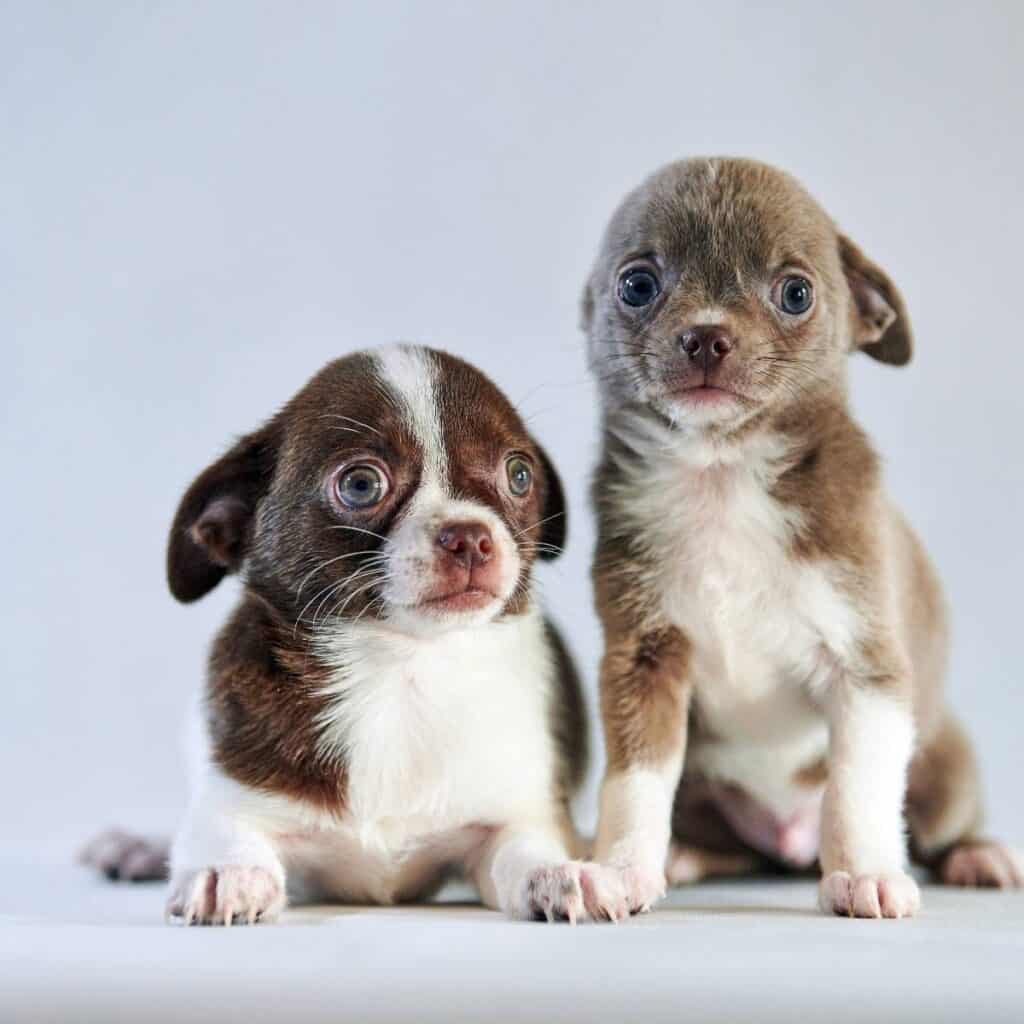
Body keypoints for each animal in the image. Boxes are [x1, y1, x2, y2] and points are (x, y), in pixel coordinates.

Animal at [83, 346, 626, 929]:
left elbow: (525, 850)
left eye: (519, 475)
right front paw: (228, 873)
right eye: (361, 485)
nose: (471, 537)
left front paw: (559, 873)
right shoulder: (231, 797)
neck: (401, 671)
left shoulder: (511, 817)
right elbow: (223, 833)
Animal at [581, 157, 1019, 921]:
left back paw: (977, 854)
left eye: (795, 293)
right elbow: (635, 782)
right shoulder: (643, 664)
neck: (723, 476)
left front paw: (866, 872)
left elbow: (857, 785)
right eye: (637, 284)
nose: (706, 335)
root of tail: (788, 844)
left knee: (937, 825)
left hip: (946, 769)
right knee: (725, 839)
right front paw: (623, 867)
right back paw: (685, 855)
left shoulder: (866, 669)